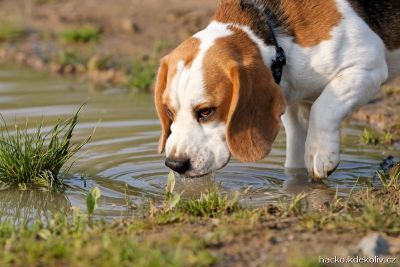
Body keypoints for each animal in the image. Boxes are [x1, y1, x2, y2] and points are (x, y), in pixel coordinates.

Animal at [154, 0, 400, 180]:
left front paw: (320, 153)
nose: (175, 164)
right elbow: (294, 158)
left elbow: (324, 108)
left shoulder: (366, 66)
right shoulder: (296, 103)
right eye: (169, 112)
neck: (274, 38)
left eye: (206, 111)